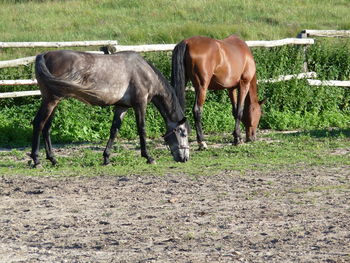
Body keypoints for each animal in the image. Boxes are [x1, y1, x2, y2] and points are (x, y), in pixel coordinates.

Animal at [31, 50, 190, 168]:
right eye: (183, 133)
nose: (185, 158)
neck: (144, 72)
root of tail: (44, 55)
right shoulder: (140, 104)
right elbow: (142, 129)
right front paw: (148, 157)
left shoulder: (122, 107)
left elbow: (114, 130)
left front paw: (106, 158)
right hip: (51, 100)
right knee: (38, 123)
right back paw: (36, 160)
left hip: (53, 101)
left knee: (47, 128)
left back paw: (53, 159)